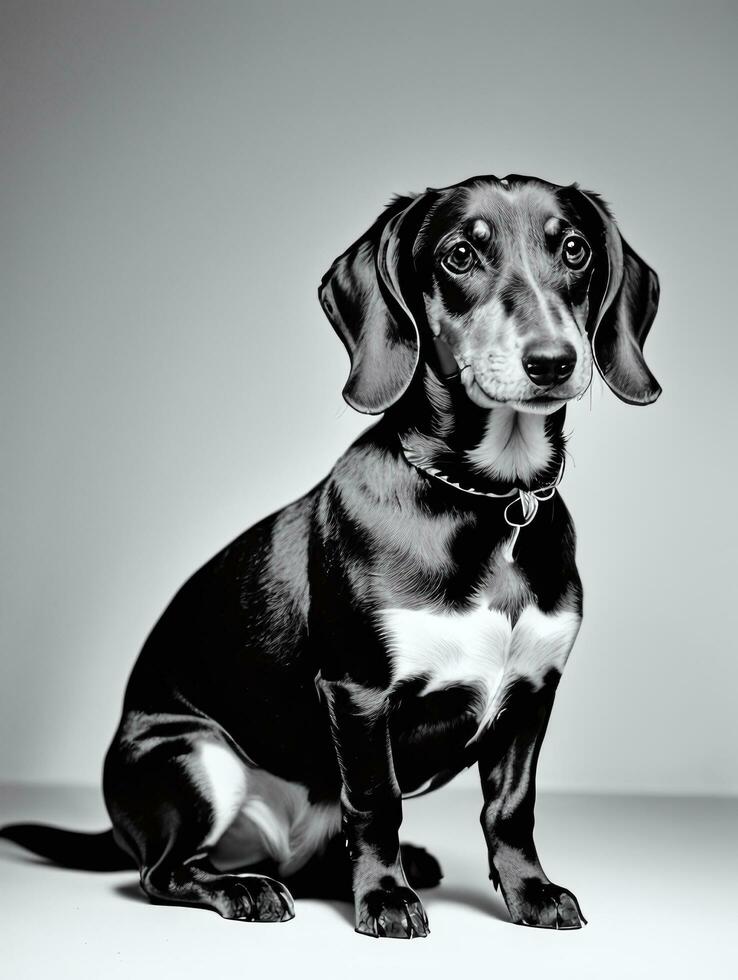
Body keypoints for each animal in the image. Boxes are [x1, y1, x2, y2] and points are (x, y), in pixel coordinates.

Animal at [0, 172, 656, 936]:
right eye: (460, 255)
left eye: (575, 249)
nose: (552, 361)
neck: (492, 501)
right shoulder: (359, 692)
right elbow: (374, 802)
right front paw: (386, 899)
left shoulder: (531, 695)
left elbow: (511, 810)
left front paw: (530, 893)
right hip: (193, 759)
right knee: (163, 872)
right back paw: (246, 888)